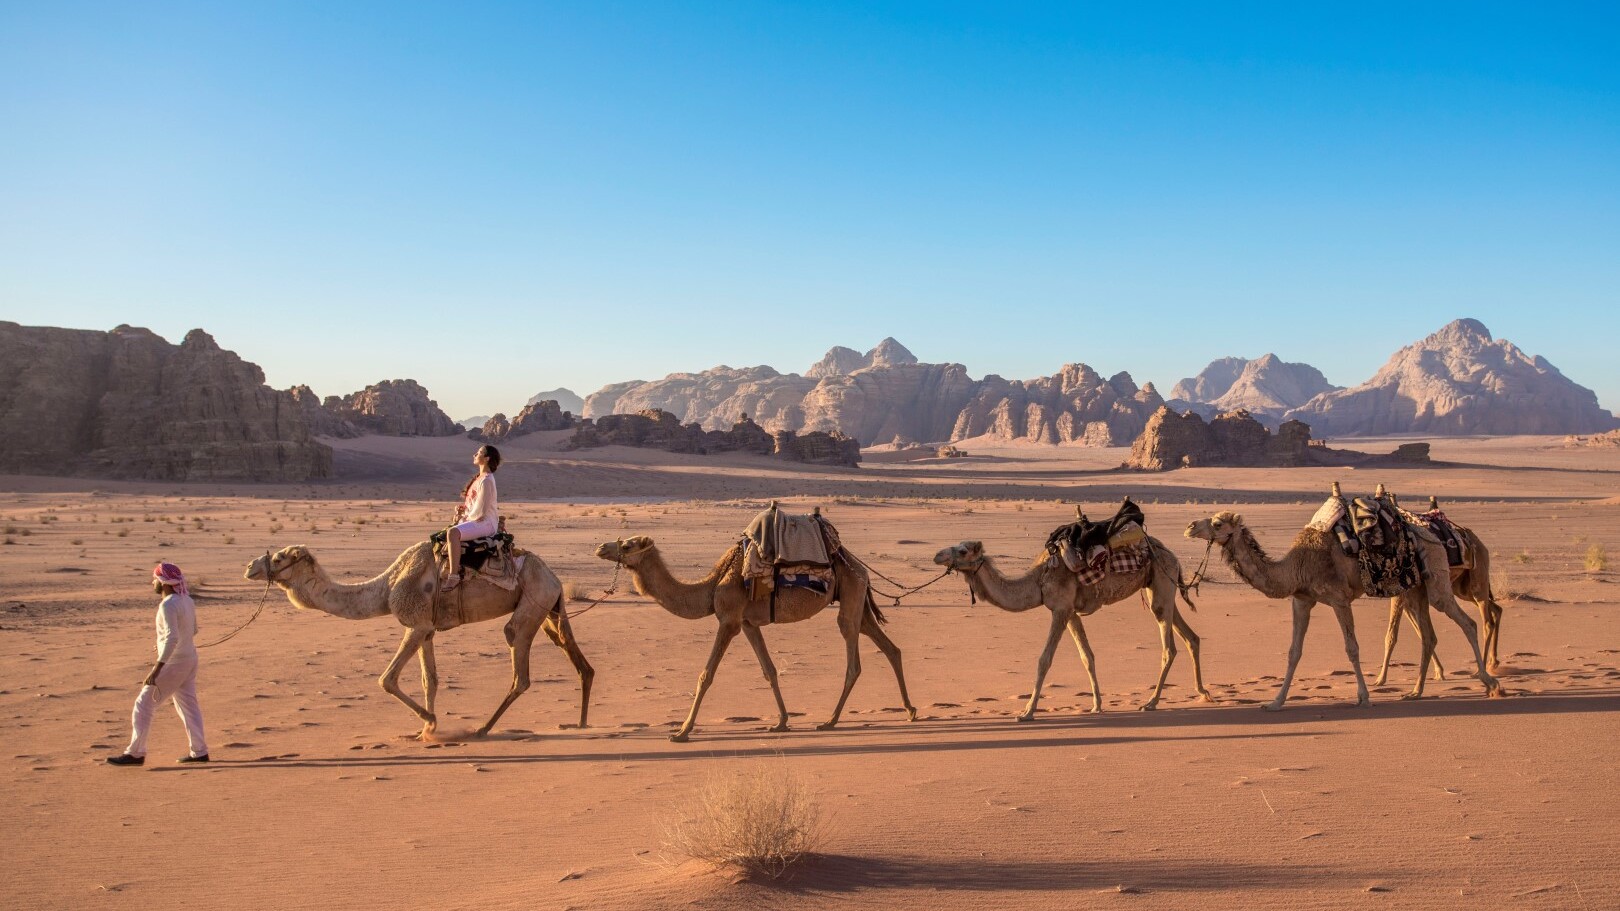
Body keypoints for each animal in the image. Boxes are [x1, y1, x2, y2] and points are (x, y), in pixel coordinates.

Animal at [246, 541, 589, 732]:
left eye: (278, 558)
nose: (250, 566)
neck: (386, 589)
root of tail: (554, 578)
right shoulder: (427, 629)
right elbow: (430, 680)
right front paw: (425, 730)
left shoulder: (416, 624)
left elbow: (386, 679)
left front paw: (431, 721)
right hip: (549, 608)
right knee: (574, 655)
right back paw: (580, 721)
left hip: (533, 602)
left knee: (519, 666)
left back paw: (483, 728)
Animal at [596, 531, 920, 739]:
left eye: (628, 546)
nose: (600, 547)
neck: (712, 585)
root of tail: (861, 567)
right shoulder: (748, 623)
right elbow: (769, 671)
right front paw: (781, 722)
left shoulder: (729, 620)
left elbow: (706, 675)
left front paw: (682, 731)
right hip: (857, 598)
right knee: (889, 647)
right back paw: (910, 710)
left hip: (851, 593)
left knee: (853, 658)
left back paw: (830, 721)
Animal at [933, 531, 1211, 716]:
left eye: (963, 550)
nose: (937, 555)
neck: (1039, 581)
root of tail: (1172, 556)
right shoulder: (1071, 613)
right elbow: (1087, 656)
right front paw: (1097, 705)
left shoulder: (1060, 609)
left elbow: (1044, 660)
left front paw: (1027, 711)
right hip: (1161, 587)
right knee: (1191, 637)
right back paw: (1202, 692)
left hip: (1161, 582)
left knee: (1169, 648)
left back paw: (1151, 702)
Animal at [1179, 505, 1503, 706]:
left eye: (1217, 523)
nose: (1190, 526)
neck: (1296, 566)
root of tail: (1431, 531)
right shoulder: (1302, 599)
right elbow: (1293, 652)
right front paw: (1275, 702)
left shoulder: (1338, 598)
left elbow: (1352, 648)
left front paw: (1364, 696)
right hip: (1413, 587)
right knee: (1430, 635)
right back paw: (1415, 692)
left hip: (1436, 576)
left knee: (1468, 621)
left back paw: (1490, 682)